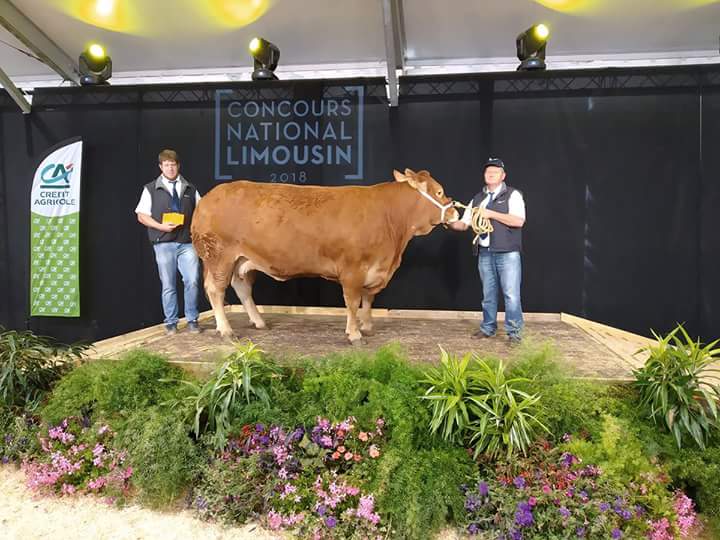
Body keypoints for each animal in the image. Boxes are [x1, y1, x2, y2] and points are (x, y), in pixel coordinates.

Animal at [191, 168, 458, 342]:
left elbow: (368, 299)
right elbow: (352, 301)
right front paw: (354, 334)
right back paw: (226, 330)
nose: (455, 212)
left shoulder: (373, 269)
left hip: (242, 261)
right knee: (215, 290)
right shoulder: (352, 269)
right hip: (219, 256)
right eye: (439, 191)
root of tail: (208, 198)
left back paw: (259, 322)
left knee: (242, 289)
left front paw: (367, 326)